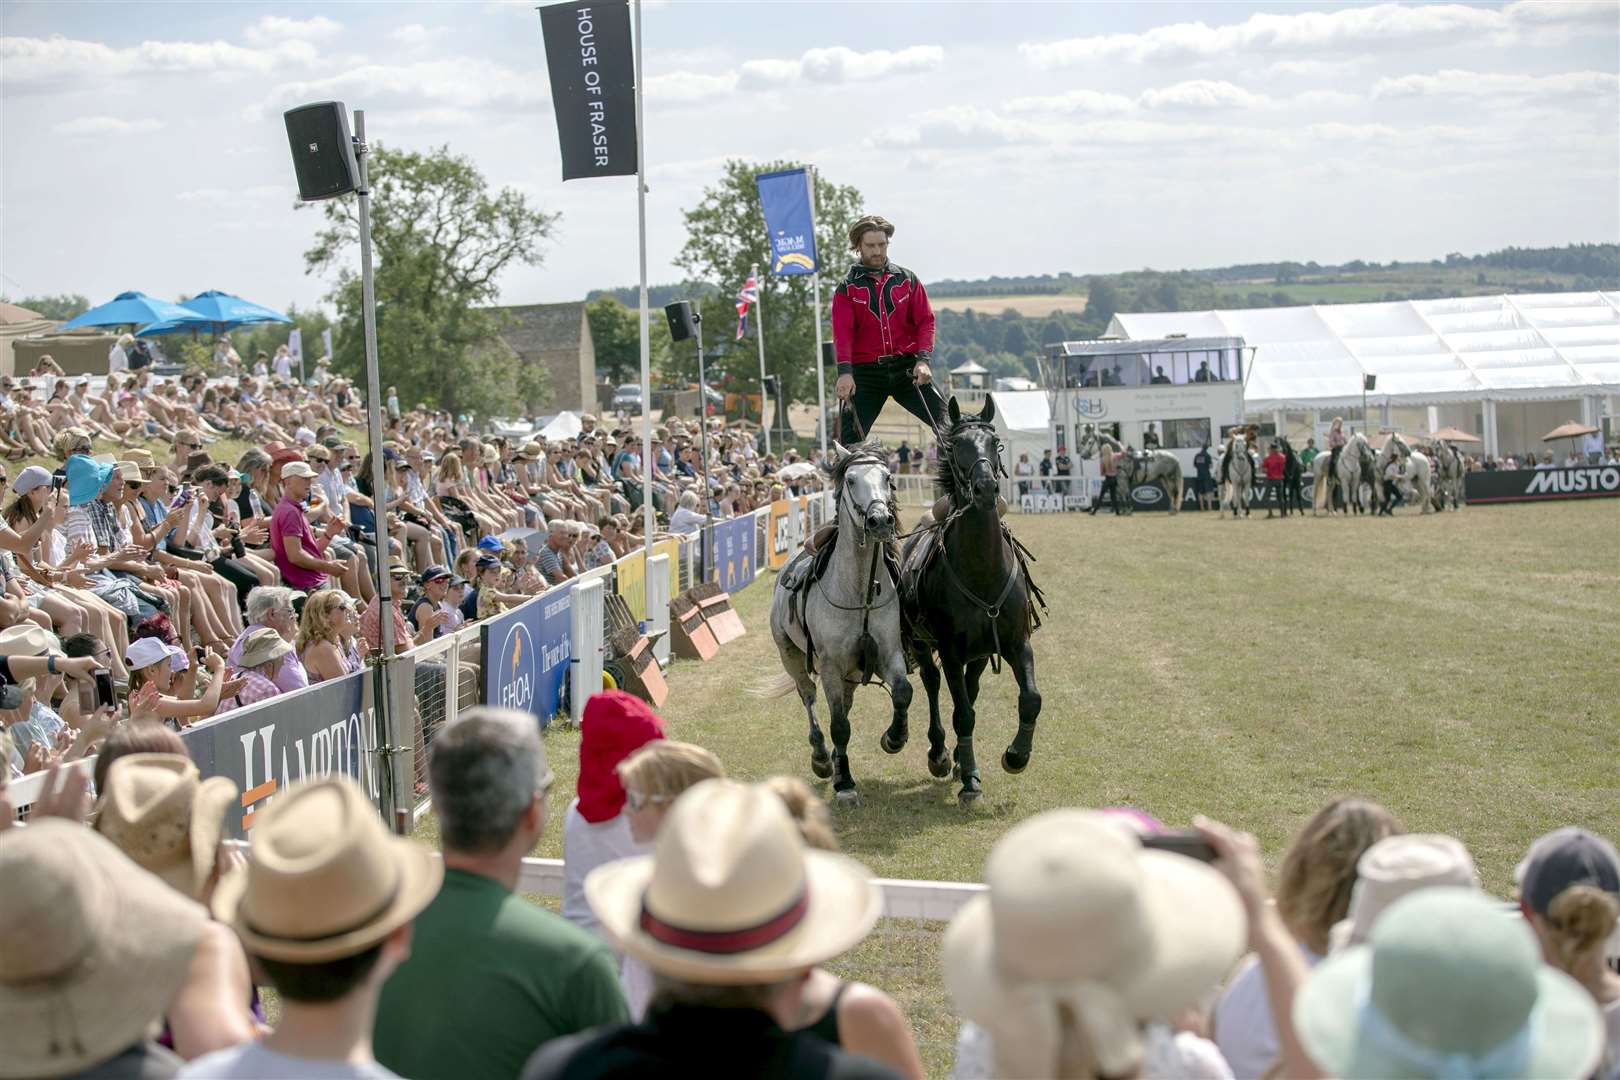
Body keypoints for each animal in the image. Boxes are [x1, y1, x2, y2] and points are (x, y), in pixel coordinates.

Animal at [761, 440, 913, 803]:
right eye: (852, 480)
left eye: (888, 478)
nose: (879, 520)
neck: (860, 591)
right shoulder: (830, 665)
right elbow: (840, 724)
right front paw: (844, 783)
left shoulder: (887, 653)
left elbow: (903, 691)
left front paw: (894, 738)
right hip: (791, 656)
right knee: (809, 698)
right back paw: (821, 757)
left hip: (852, 673)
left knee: (844, 702)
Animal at [894, 396, 1043, 803]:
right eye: (955, 446)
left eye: (996, 443)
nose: (986, 488)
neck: (983, 571)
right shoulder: (949, 650)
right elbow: (961, 712)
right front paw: (971, 780)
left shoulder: (1016, 642)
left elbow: (1030, 699)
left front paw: (1016, 755)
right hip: (923, 644)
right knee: (932, 685)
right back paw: (941, 753)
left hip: (979, 653)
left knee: (971, 687)